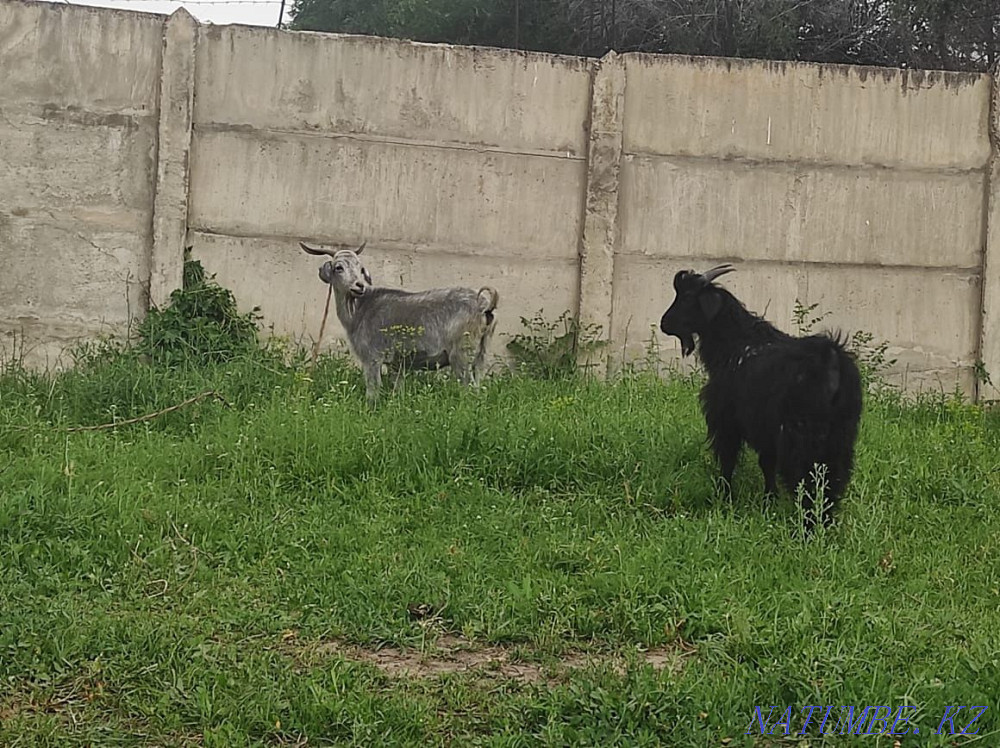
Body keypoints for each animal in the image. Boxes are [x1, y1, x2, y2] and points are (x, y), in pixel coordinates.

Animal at [300, 241, 499, 404]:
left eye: (360, 268)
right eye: (339, 267)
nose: (359, 286)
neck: (360, 310)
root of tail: (485, 306)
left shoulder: (372, 358)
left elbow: (373, 392)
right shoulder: (397, 364)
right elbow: (398, 392)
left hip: (461, 355)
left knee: (469, 389)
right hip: (481, 354)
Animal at [659, 264, 863, 534]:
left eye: (687, 297)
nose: (664, 323)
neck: (735, 343)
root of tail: (832, 363)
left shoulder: (727, 419)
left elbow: (728, 458)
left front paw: (724, 495)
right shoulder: (765, 429)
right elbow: (766, 463)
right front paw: (769, 499)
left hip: (799, 435)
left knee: (805, 476)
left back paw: (807, 526)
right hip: (840, 436)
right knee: (833, 477)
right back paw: (824, 520)